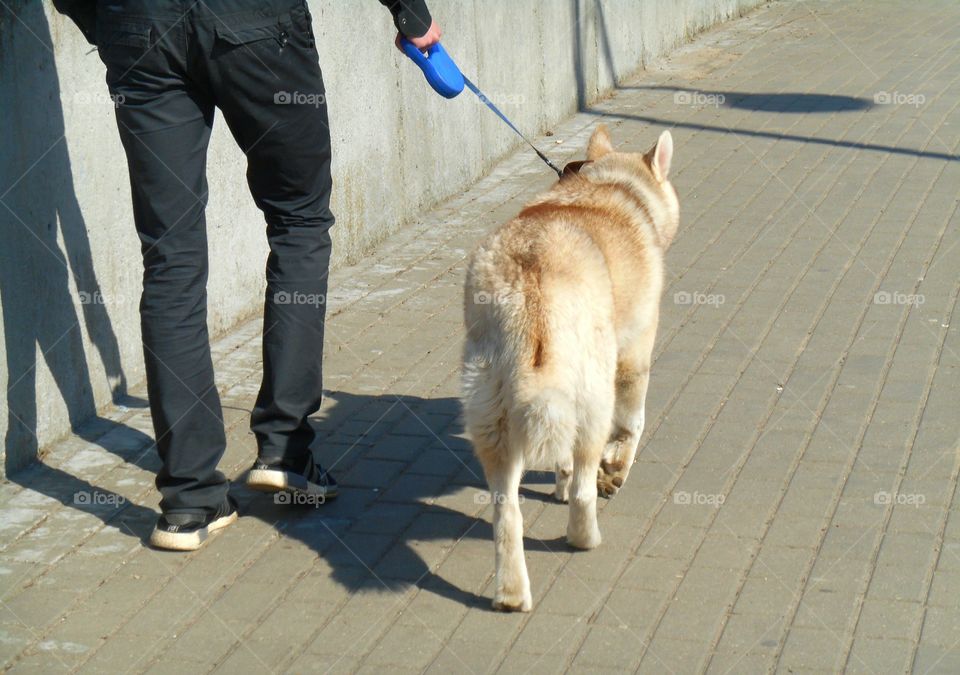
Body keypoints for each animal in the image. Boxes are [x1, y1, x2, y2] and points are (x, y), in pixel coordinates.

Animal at [462, 127, 680, 612]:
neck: (612, 186)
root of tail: (530, 276)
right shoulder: (634, 356)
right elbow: (632, 426)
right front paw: (614, 471)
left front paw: (560, 482)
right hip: (592, 393)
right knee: (584, 483)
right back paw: (585, 536)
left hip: (493, 406)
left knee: (506, 512)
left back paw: (511, 593)